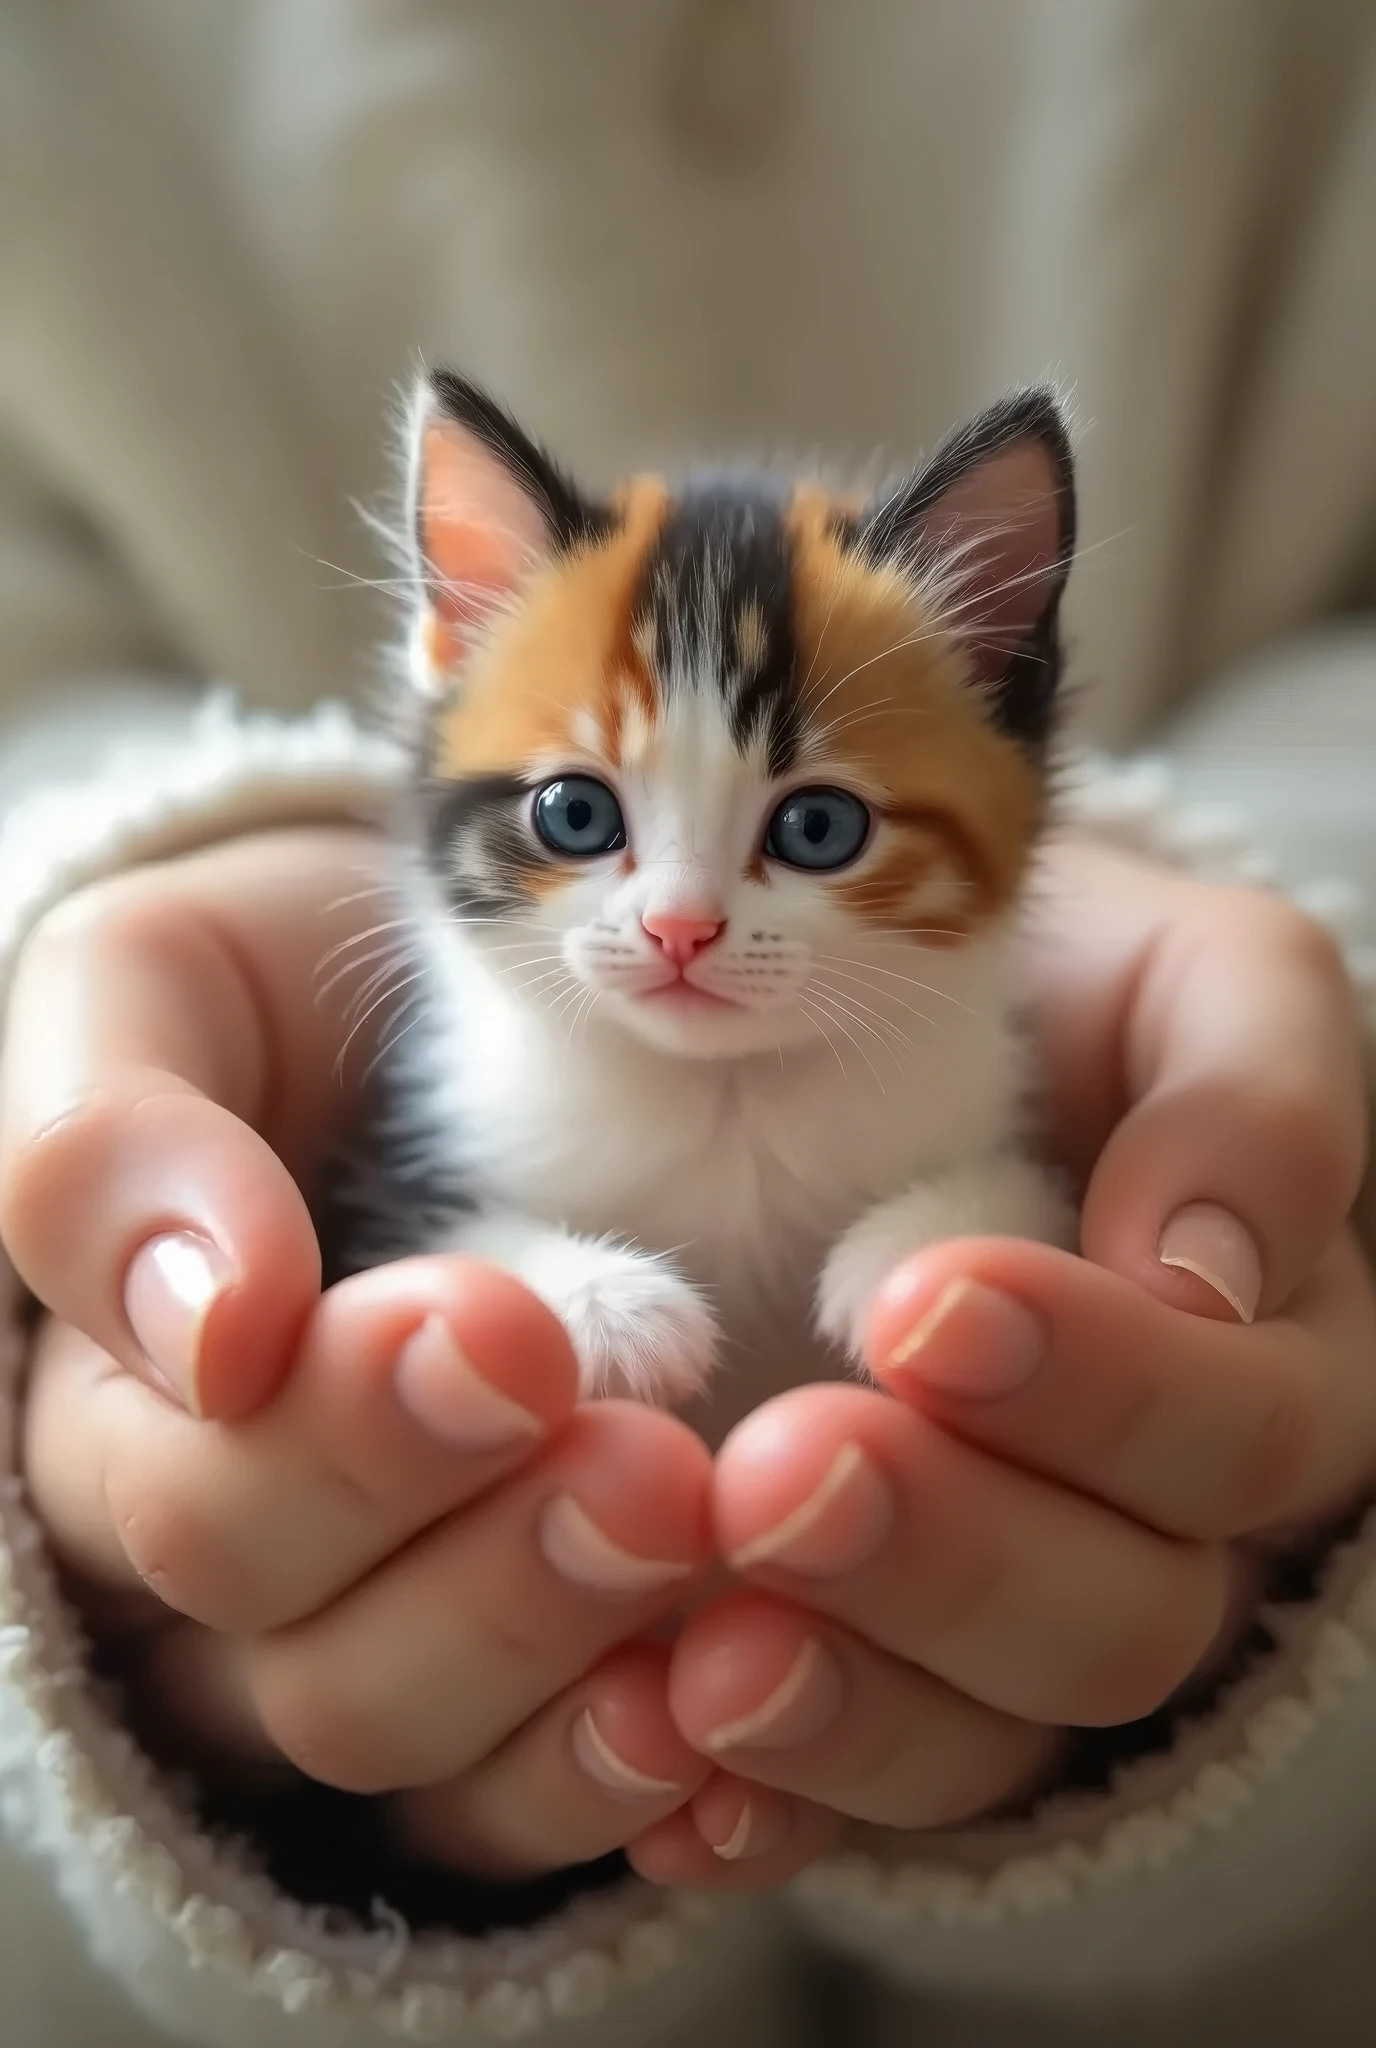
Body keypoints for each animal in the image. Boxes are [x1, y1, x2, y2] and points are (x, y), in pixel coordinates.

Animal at [329, 376, 1072, 1449]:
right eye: (575, 813)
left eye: (817, 827)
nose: (680, 928)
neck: (727, 1098)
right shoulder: (377, 1177)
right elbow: (433, 1229)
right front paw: (608, 1307)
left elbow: (1044, 1196)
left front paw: (920, 1253)